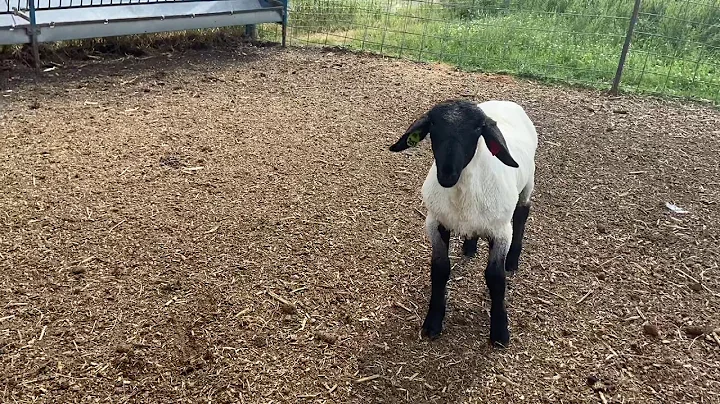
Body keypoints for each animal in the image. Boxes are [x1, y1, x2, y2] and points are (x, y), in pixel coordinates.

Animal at [388, 98, 536, 348]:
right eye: (433, 125)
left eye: (477, 129)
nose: (447, 174)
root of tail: (504, 102)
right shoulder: (435, 222)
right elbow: (440, 269)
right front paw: (433, 322)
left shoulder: (501, 232)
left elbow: (496, 278)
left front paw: (500, 332)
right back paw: (469, 247)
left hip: (528, 184)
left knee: (521, 215)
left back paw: (513, 261)